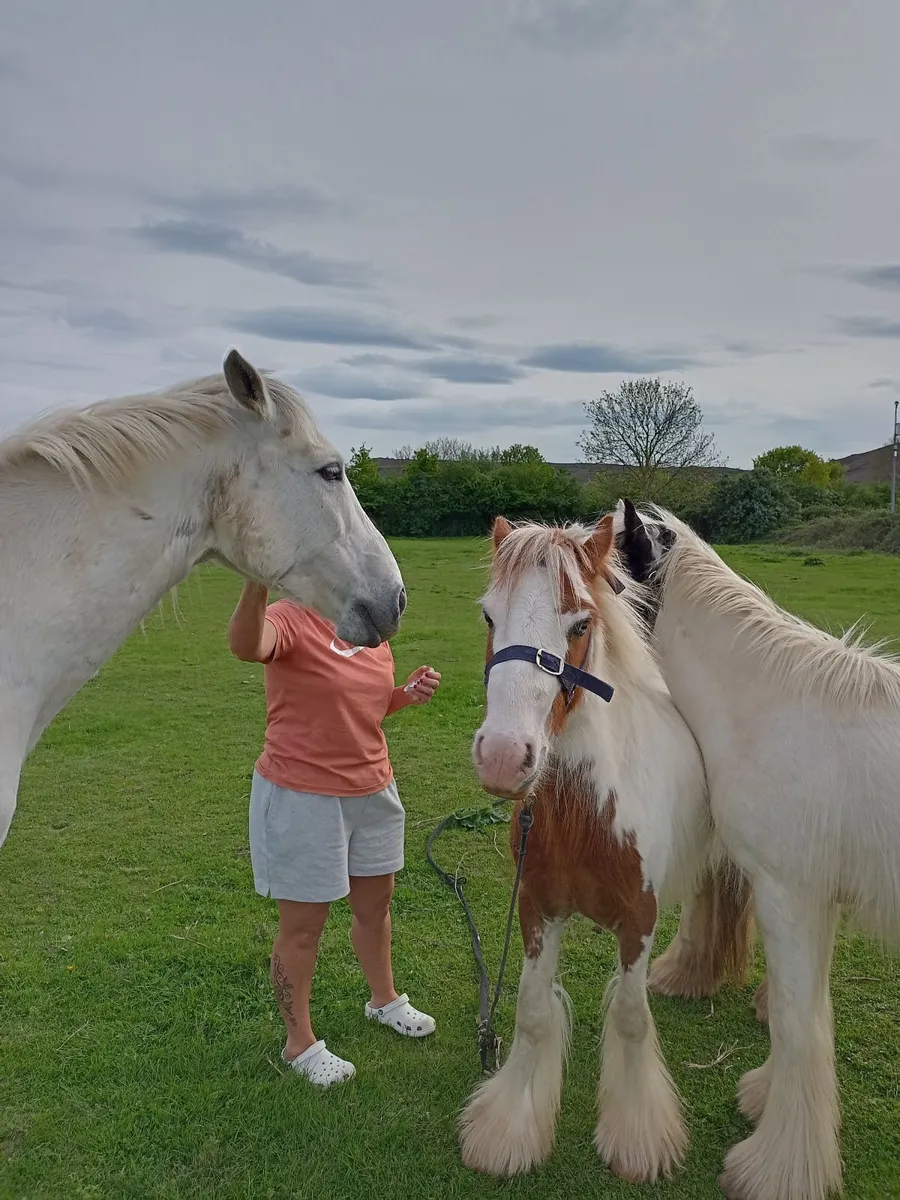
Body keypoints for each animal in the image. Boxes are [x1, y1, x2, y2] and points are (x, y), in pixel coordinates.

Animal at [458, 514, 743, 1183]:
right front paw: (511, 1130)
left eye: (580, 625)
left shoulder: (639, 919)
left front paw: (638, 1137)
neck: (586, 816)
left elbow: (632, 1019)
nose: (503, 757)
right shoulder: (538, 909)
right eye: (488, 616)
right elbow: (533, 1011)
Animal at [615, 498, 900, 1200]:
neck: (771, 706)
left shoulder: (787, 894)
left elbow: (800, 1026)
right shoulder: (815, 900)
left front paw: (777, 1168)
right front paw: (769, 1101)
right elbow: (812, 1015)